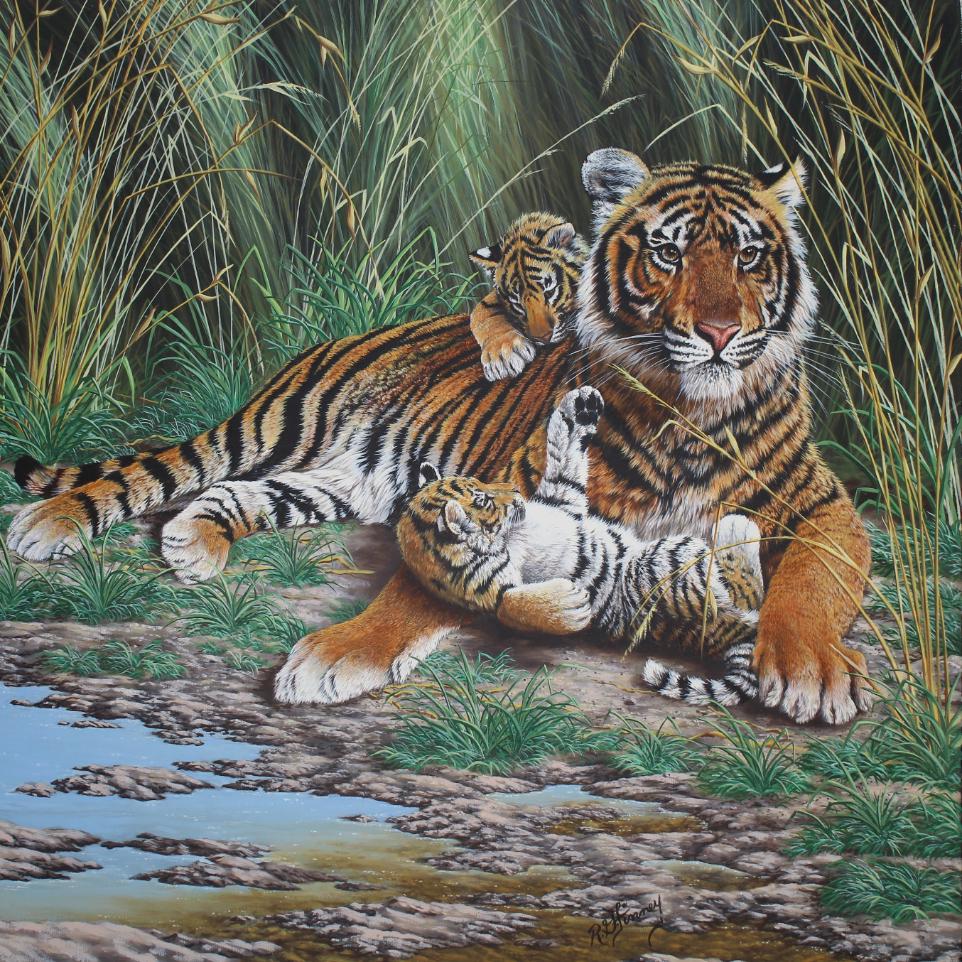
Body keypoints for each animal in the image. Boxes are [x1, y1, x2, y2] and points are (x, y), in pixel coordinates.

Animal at [397, 386, 764, 706]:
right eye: (484, 500)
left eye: (479, 483)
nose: (515, 492)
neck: (511, 533)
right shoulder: (485, 585)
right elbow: (511, 603)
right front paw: (570, 605)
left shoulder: (564, 501)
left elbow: (563, 459)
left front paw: (581, 407)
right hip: (658, 566)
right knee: (742, 592)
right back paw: (739, 534)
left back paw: (737, 526)